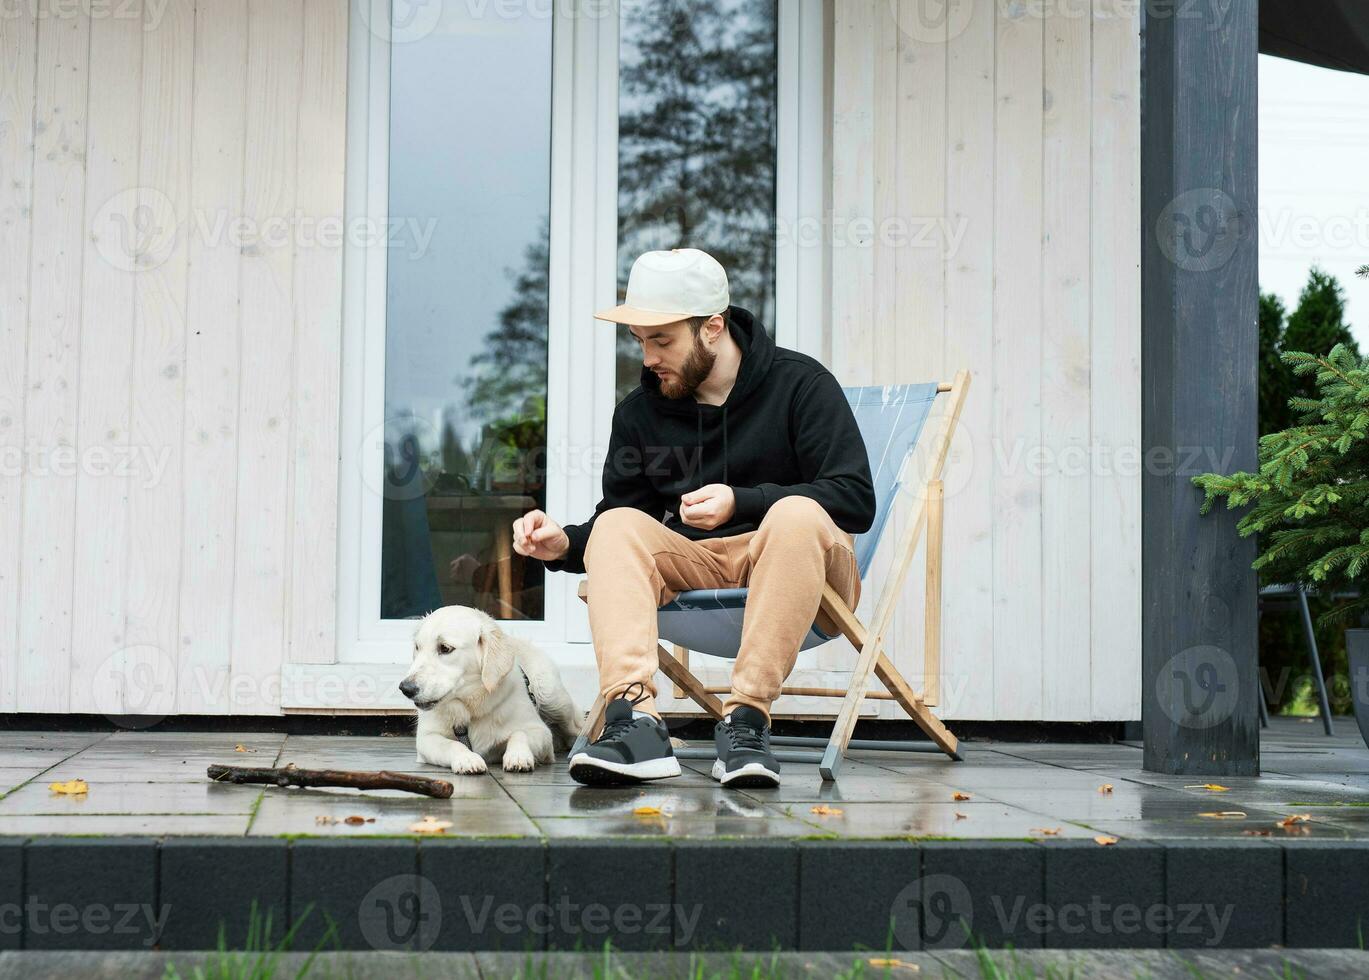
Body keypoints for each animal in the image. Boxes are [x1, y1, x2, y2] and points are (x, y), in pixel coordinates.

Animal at [399, 604, 583, 771]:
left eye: (445, 648)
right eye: (417, 647)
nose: (405, 688)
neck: (471, 707)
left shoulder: (540, 731)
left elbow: (519, 733)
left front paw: (518, 756)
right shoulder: (426, 738)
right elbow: (452, 745)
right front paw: (467, 758)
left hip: (553, 699)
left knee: (576, 727)